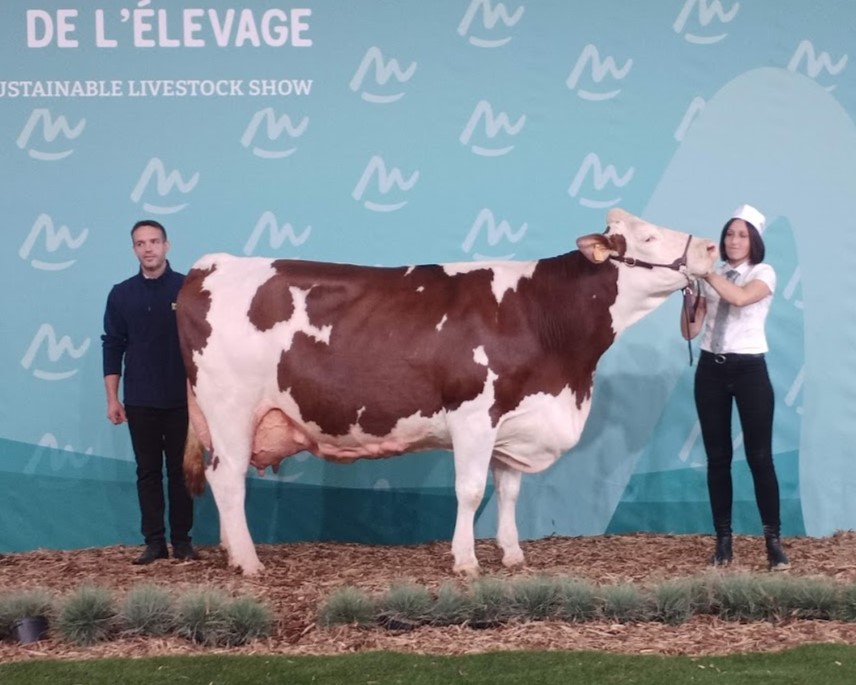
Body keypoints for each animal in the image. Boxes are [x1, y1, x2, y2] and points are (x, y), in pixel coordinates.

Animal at [177, 210, 720, 576]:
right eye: (648, 236)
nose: (712, 248)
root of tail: (210, 266)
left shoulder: (514, 418)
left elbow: (509, 490)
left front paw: (512, 554)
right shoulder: (473, 412)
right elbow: (471, 488)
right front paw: (465, 561)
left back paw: (231, 552)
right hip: (231, 408)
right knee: (229, 479)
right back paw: (249, 562)